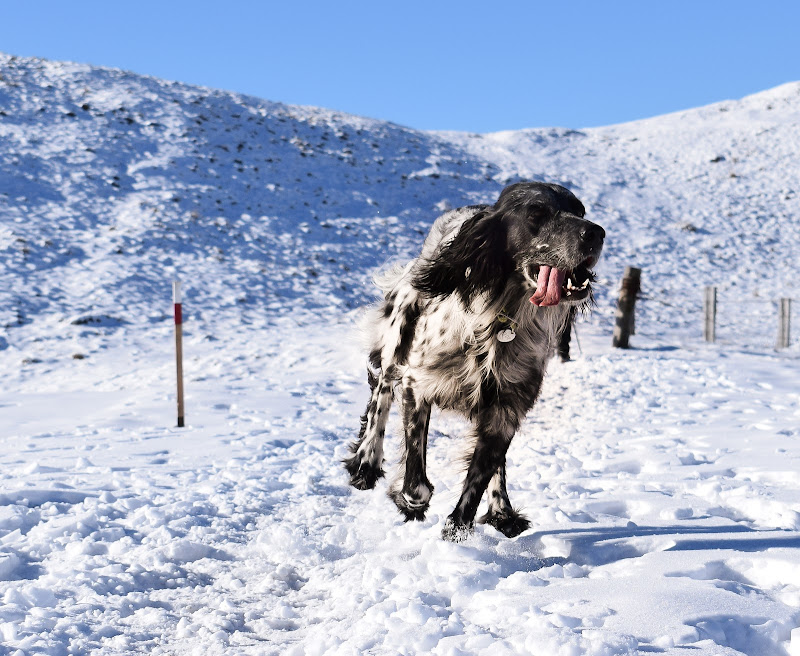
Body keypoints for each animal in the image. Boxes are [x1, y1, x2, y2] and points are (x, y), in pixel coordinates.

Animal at [346, 182, 608, 540]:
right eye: (536, 213)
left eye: (580, 211)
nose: (596, 233)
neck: (502, 318)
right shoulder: (418, 384)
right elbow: (416, 483)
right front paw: (408, 503)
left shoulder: (508, 407)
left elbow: (479, 478)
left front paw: (458, 534)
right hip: (399, 328)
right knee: (381, 389)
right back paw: (366, 462)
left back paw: (502, 511)